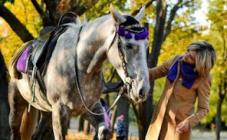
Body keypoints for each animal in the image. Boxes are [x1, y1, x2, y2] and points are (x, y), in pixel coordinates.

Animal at [8, 5, 151, 140]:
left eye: (146, 45)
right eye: (128, 45)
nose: (142, 90)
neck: (81, 67)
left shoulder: (91, 107)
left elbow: (104, 131)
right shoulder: (60, 112)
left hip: (47, 112)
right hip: (17, 104)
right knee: (15, 130)